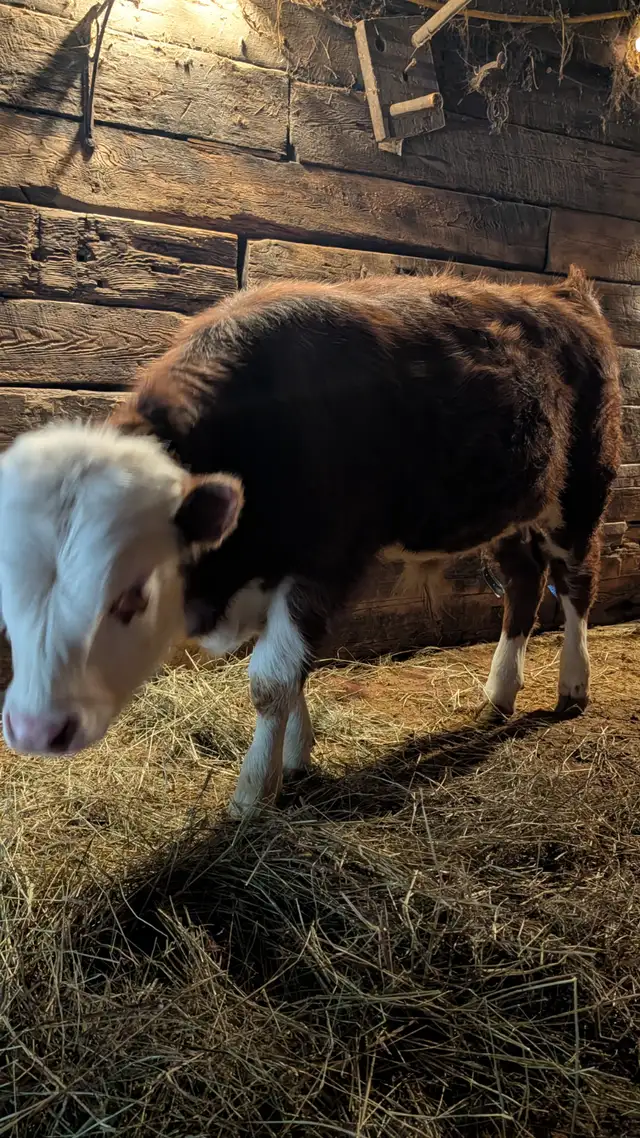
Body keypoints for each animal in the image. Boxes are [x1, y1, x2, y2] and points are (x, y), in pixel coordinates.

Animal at [0, 268, 621, 817]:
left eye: (132, 593)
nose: (35, 728)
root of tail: (566, 295)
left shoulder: (324, 563)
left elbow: (271, 678)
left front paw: (254, 790)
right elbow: (294, 667)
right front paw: (296, 758)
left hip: (582, 489)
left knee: (576, 581)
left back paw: (572, 685)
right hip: (510, 511)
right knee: (522, 582)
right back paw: (499, 694)